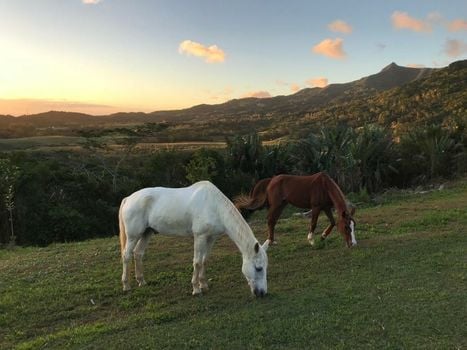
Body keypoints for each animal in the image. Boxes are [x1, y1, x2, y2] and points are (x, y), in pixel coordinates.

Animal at [119, 180, 268, 298]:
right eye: (259, 268)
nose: (262, 293)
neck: (214, 206)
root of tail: (128, 198)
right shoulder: (199, 237)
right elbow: (197, 262)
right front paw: (196, 289)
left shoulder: (211, 238)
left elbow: (204, 261)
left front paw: (204, 285)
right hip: (133, 236)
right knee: (126, 256)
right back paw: (126, 286)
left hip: (147, 233)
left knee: (138, 254)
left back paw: (141, 281)